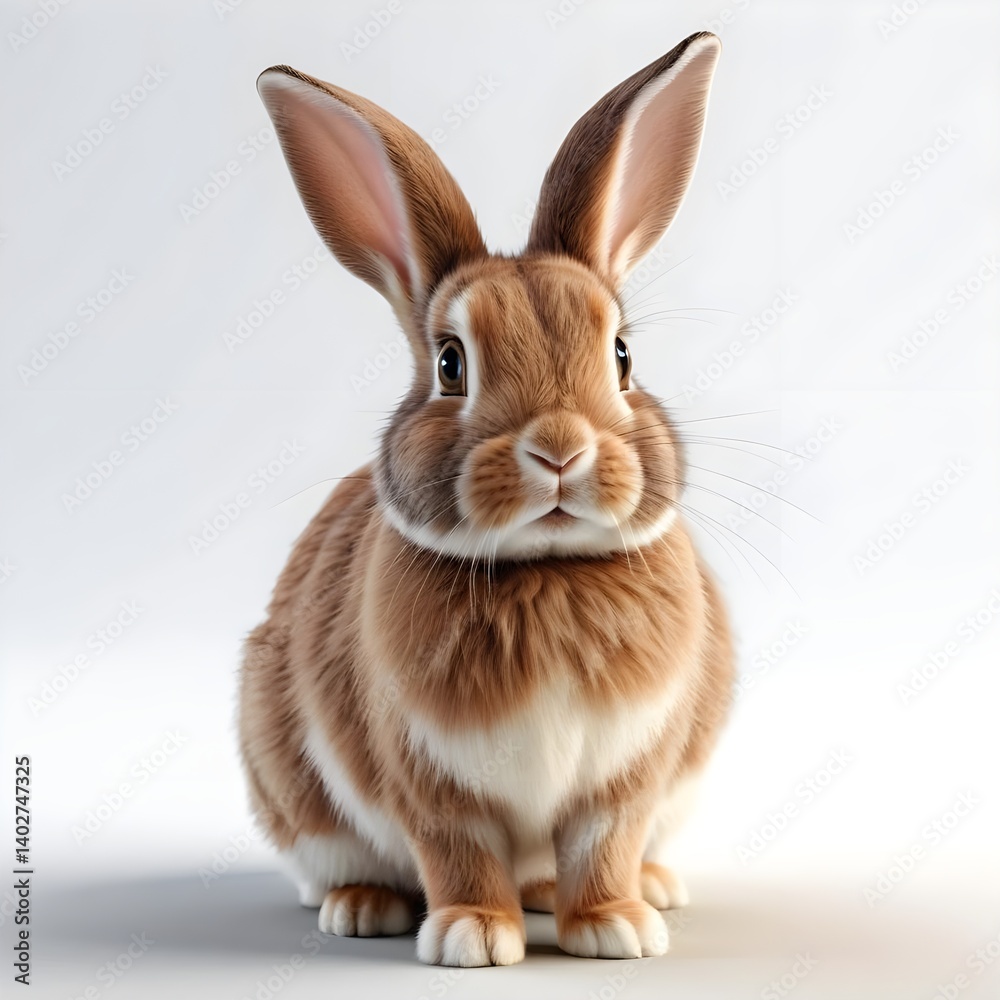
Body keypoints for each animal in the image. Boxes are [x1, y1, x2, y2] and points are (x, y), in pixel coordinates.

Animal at [239, 30, 733, 967]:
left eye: (622, 356)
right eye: (449, 365)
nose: (560, 448)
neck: (547, 570)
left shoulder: (625, 776)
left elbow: (605, 842)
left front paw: (614, 927)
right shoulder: (429, 777)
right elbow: (455, 850)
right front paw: (471, 935)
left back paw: (637, 890)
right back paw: (362, 908)